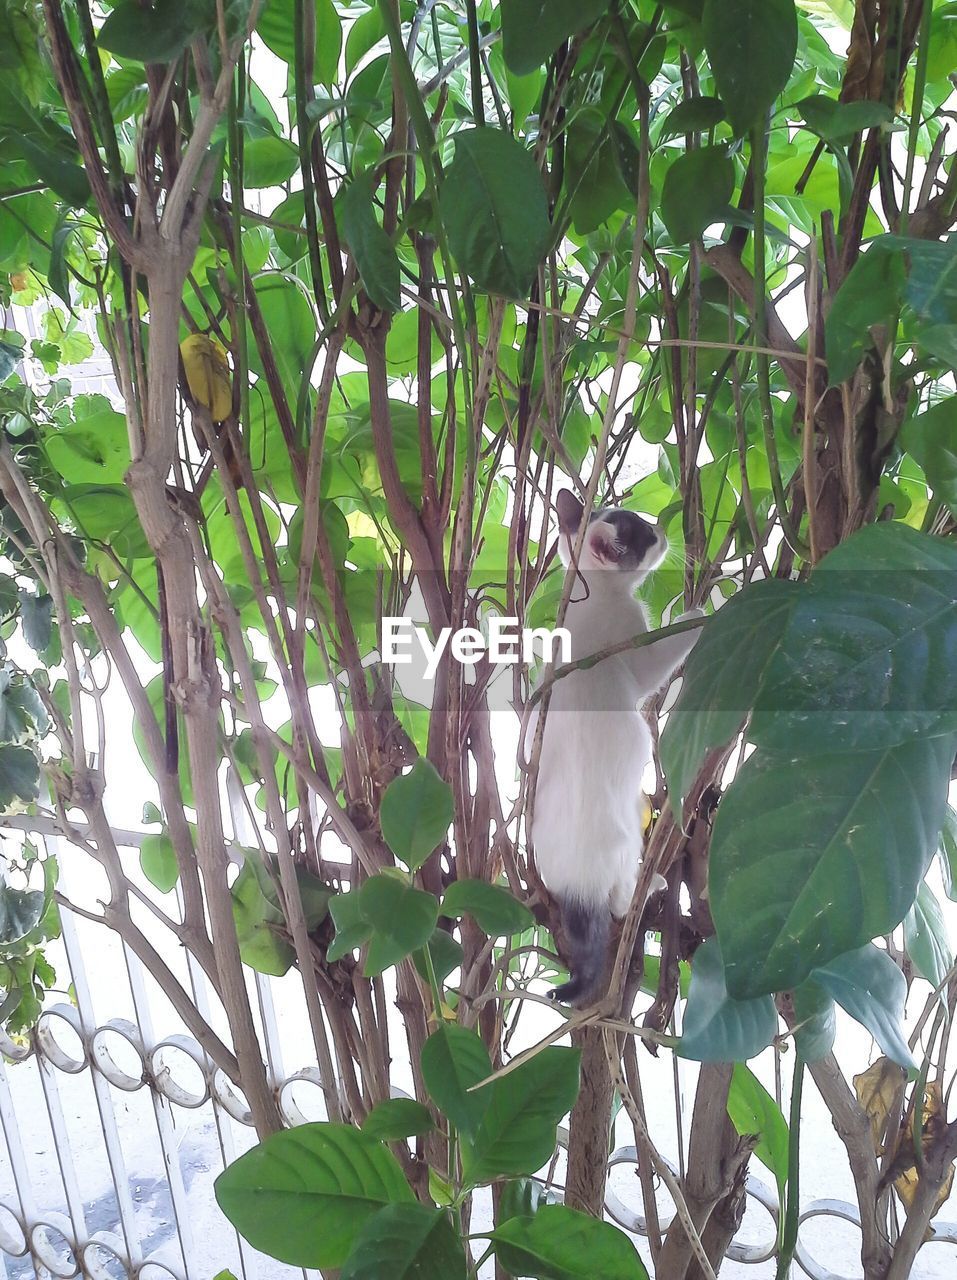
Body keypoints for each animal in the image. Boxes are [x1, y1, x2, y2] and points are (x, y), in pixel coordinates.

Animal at [524, 494, 701, 1003]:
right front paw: (702, 611)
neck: (592, 597)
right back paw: (649, 884)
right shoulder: (634, 651)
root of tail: (578, 885)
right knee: (620, 903)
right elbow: (661, 657)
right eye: (642, 535)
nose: (662, 531)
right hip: (625, 848)